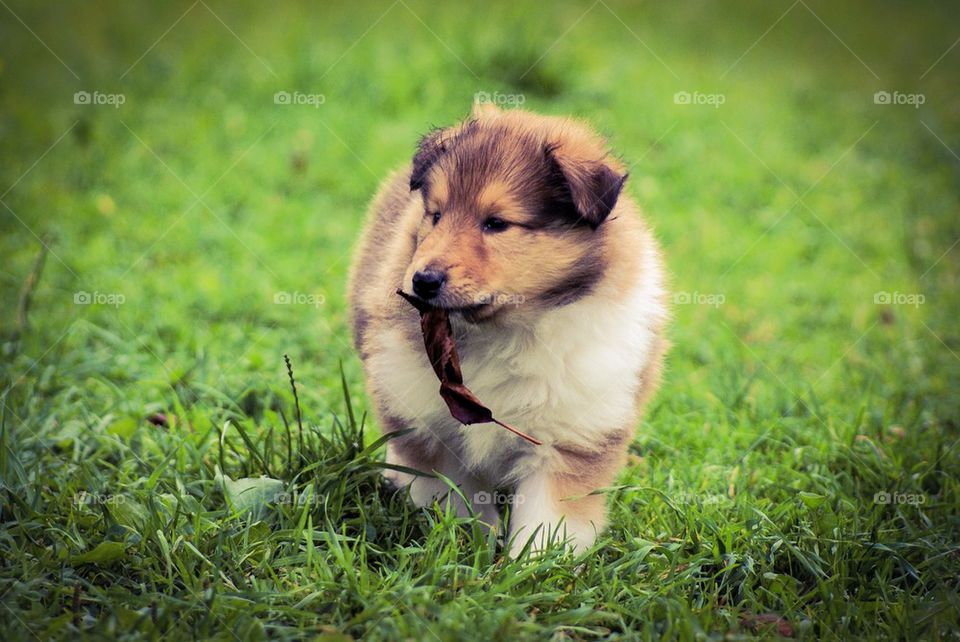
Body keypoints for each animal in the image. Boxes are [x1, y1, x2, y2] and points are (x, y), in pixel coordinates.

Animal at [344, 105, 668, 556]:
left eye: (496, 223)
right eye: (436, 215)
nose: (422, 281)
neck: (503, 333)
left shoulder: (569, 439)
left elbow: (549, 524)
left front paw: (529, 567)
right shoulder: (435, 430)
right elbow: (454, 499)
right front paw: (470, 547)